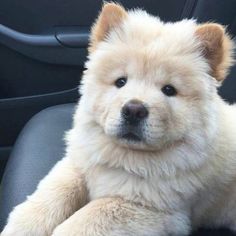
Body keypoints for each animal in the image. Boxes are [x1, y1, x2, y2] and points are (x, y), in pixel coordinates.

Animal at [1, 2, 234, 236]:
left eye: (169, 90)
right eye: (121, 81)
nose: (134, 110)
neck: (123, 156)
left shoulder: (148, 207)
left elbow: (86, 219)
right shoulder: (79, 164)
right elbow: (54, 193)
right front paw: (22, 227)